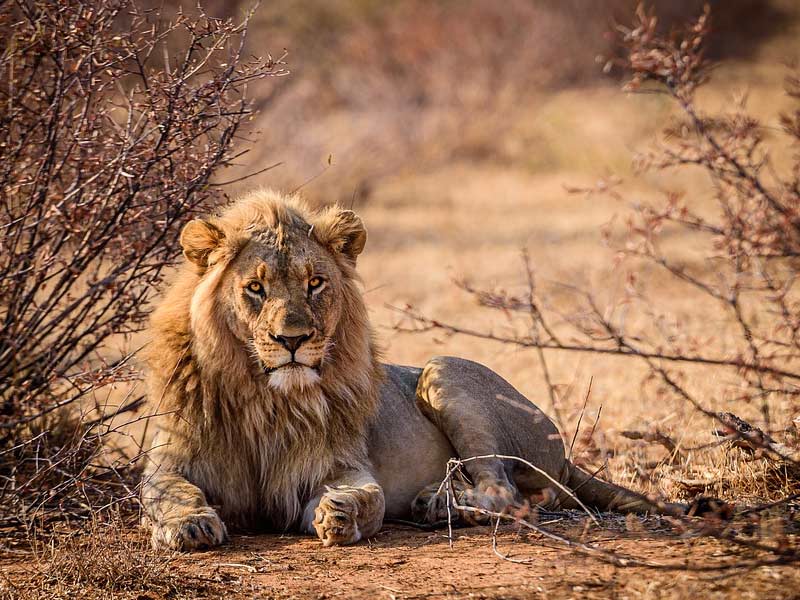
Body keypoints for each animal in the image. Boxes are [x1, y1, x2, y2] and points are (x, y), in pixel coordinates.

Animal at [141, 189, 687, 550]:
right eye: (255, 288)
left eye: (315, 283)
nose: (292, 340)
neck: (264, 397)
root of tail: (564, 451)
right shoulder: (170, 458)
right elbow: (166, 491)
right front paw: (190, 525)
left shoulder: (339, 465)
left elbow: (369, 497)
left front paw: (340, 513)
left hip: (443, 371)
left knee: (507, 492)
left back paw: (439, 504)